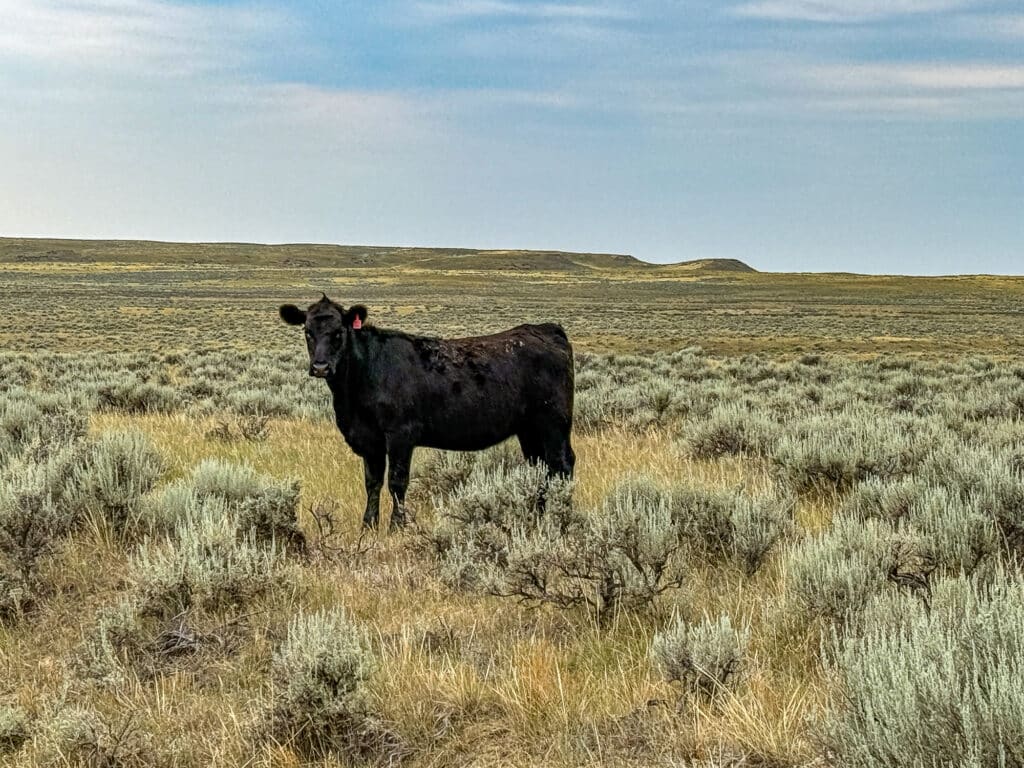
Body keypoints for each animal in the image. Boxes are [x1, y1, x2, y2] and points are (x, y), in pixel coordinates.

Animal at [278, 295, 576, 530]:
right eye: (307, 331)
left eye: (339, 332)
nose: (320, 367)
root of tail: (547, 329)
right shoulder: (369, 439)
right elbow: (372, 482)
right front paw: (368, 525)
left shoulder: (401, 434)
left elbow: (397, 481)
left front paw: (397, 527)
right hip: (529, 430)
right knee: (539, 468)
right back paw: (535, 515)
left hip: (554, 424)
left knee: (562, 465)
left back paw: (562, 518)